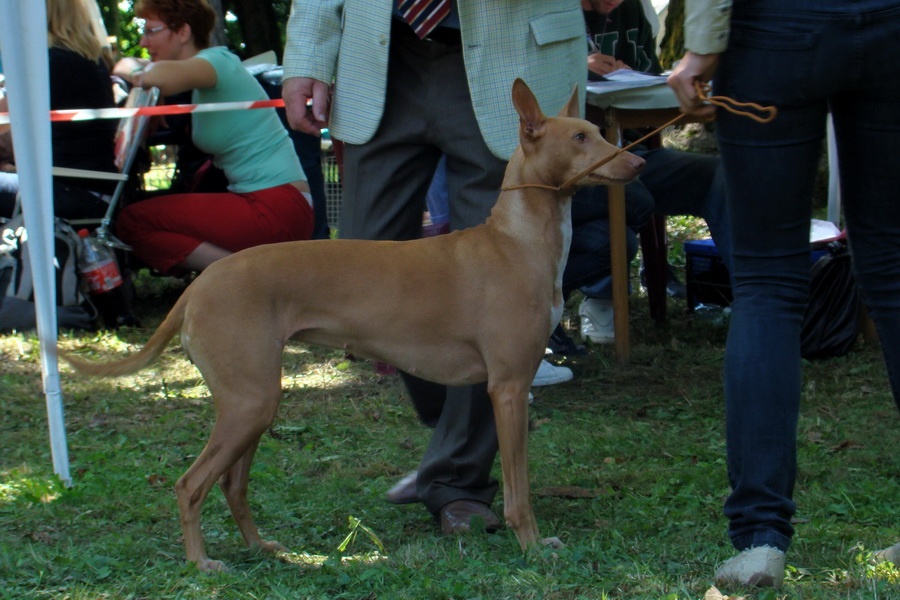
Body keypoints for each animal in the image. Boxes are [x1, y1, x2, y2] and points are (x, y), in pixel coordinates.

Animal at [63, 79, 644, 572]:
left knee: (232, 485)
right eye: (580, 137)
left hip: (254, 402)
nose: (637, 161)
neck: (516, 242)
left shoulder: (503, 386)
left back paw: (262, 548)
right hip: (249, 401)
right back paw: (201, 563)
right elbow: (519, 490)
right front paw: (532, 548)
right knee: (190, 484)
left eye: (597, 132)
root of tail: (199, 285)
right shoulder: (508, 387)